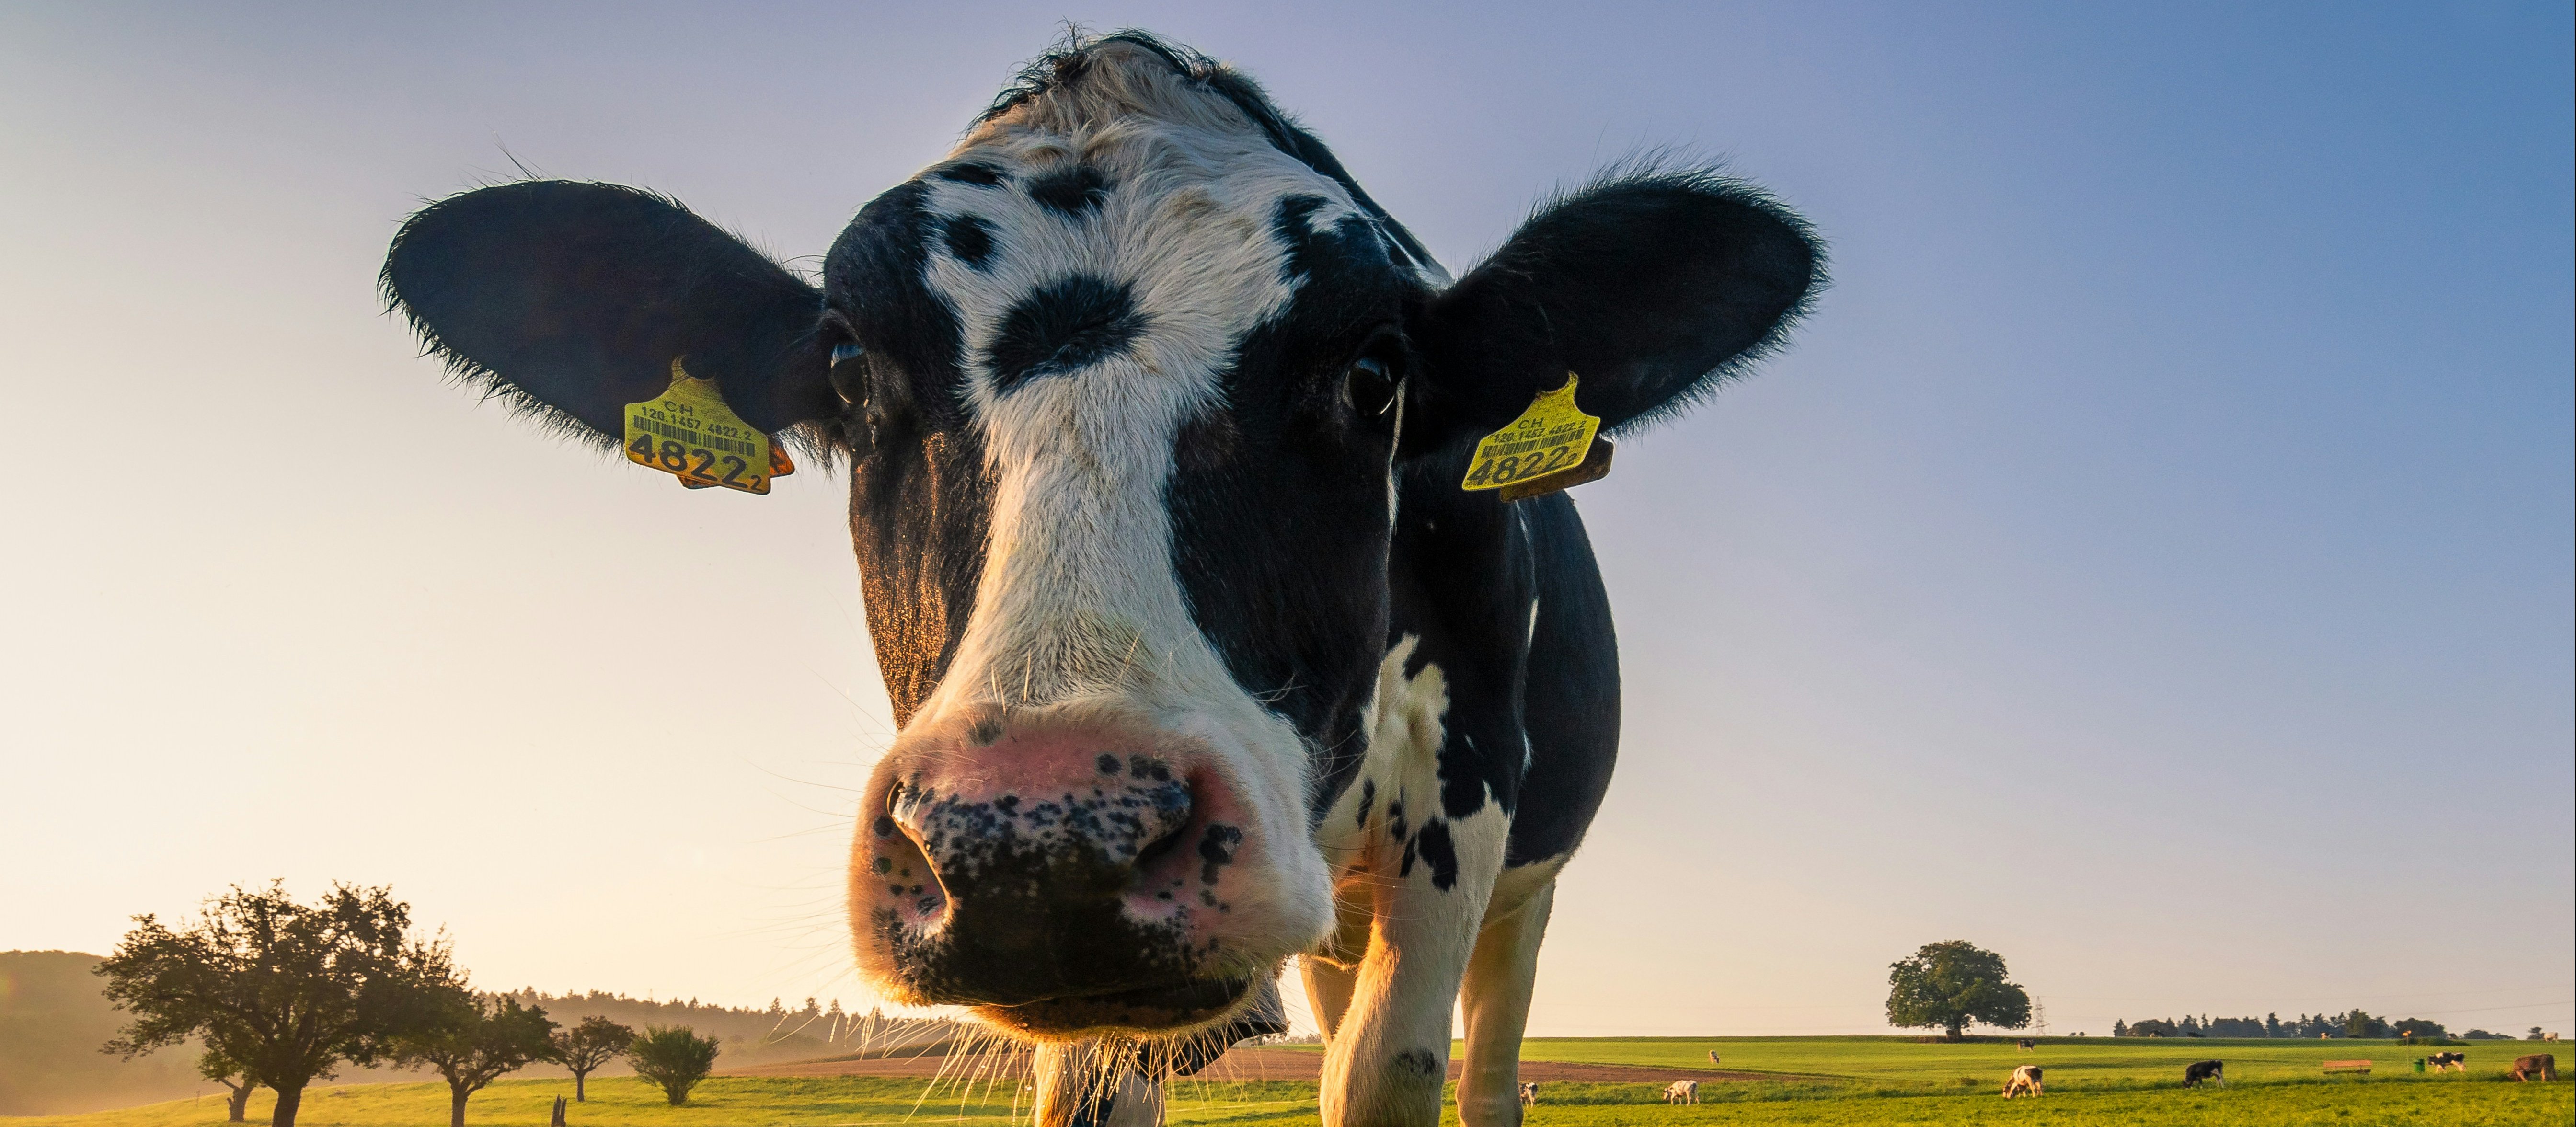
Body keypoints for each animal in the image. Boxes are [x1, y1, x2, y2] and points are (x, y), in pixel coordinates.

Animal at [386, 26, 1834, 1127]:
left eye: (1377, 373)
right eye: (848, 366)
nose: (1044, 838)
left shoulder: (1466, 797)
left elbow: (1391, 1075)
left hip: (1525, 887)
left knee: (1485, 1075)